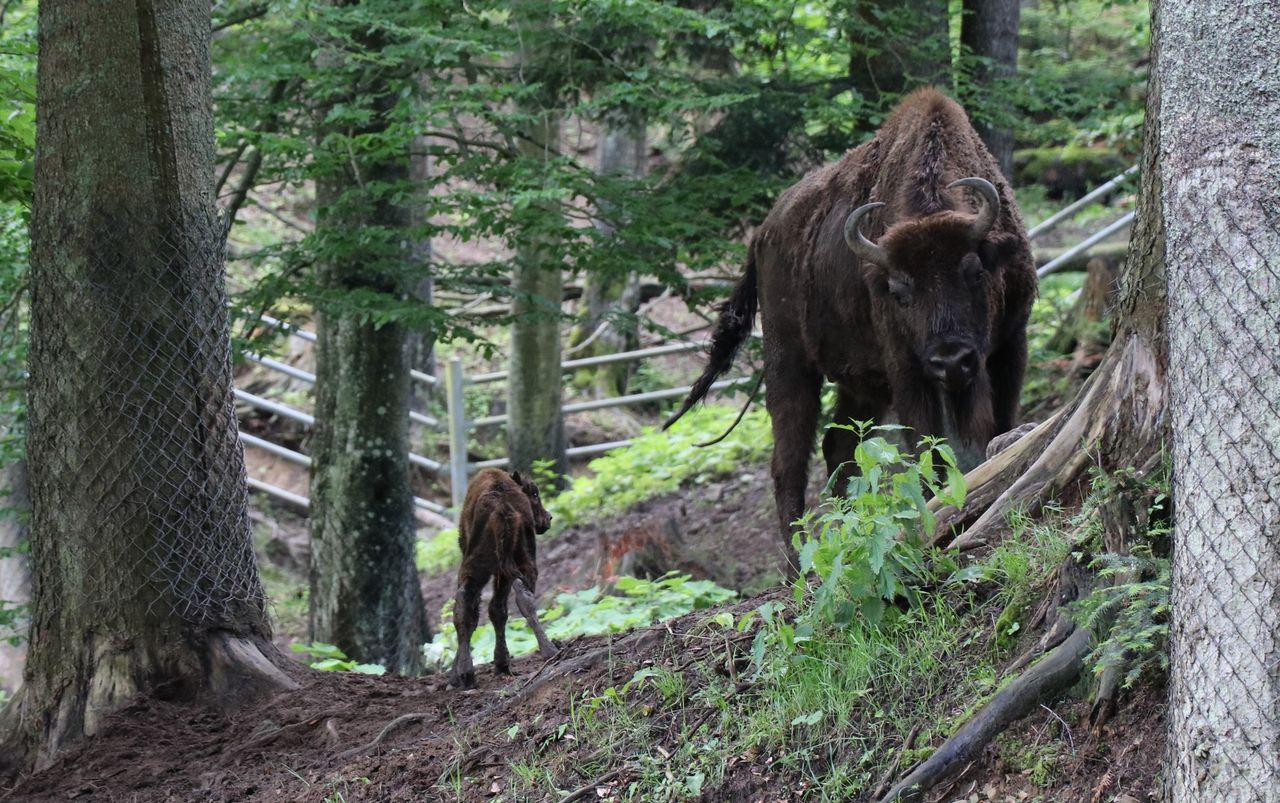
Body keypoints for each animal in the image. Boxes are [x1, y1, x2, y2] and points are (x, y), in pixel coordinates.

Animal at [450, 468, 555, 686]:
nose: (548, 517)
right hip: (520, 562)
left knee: (465, 604)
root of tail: (501, 506)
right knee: (522, 598)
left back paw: (466, 674)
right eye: (534, 493)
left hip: (477, 567)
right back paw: (549, 650)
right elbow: (497, 611)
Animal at [665, 86, 1034, 566]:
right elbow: (926, 447)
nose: (951, 360)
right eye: (899, 290)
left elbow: (996, 425)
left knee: (837, 448)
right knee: (788, 462)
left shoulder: (1010, 345)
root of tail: (762, 234)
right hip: (789, 364)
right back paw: (797, 565)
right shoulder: (907, 369)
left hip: (862, 387)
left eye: (975, 272)